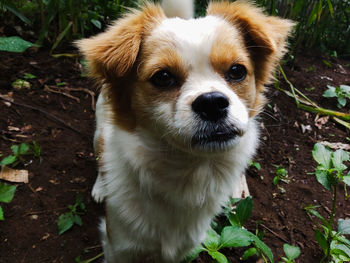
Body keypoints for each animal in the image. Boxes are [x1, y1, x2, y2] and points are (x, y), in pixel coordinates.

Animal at [76, 1, 292, 262]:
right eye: (163, 77)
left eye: (237, 71)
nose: (212, 102)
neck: (189, 172)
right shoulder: (118, 247)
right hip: (99, 129)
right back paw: (101, 186)